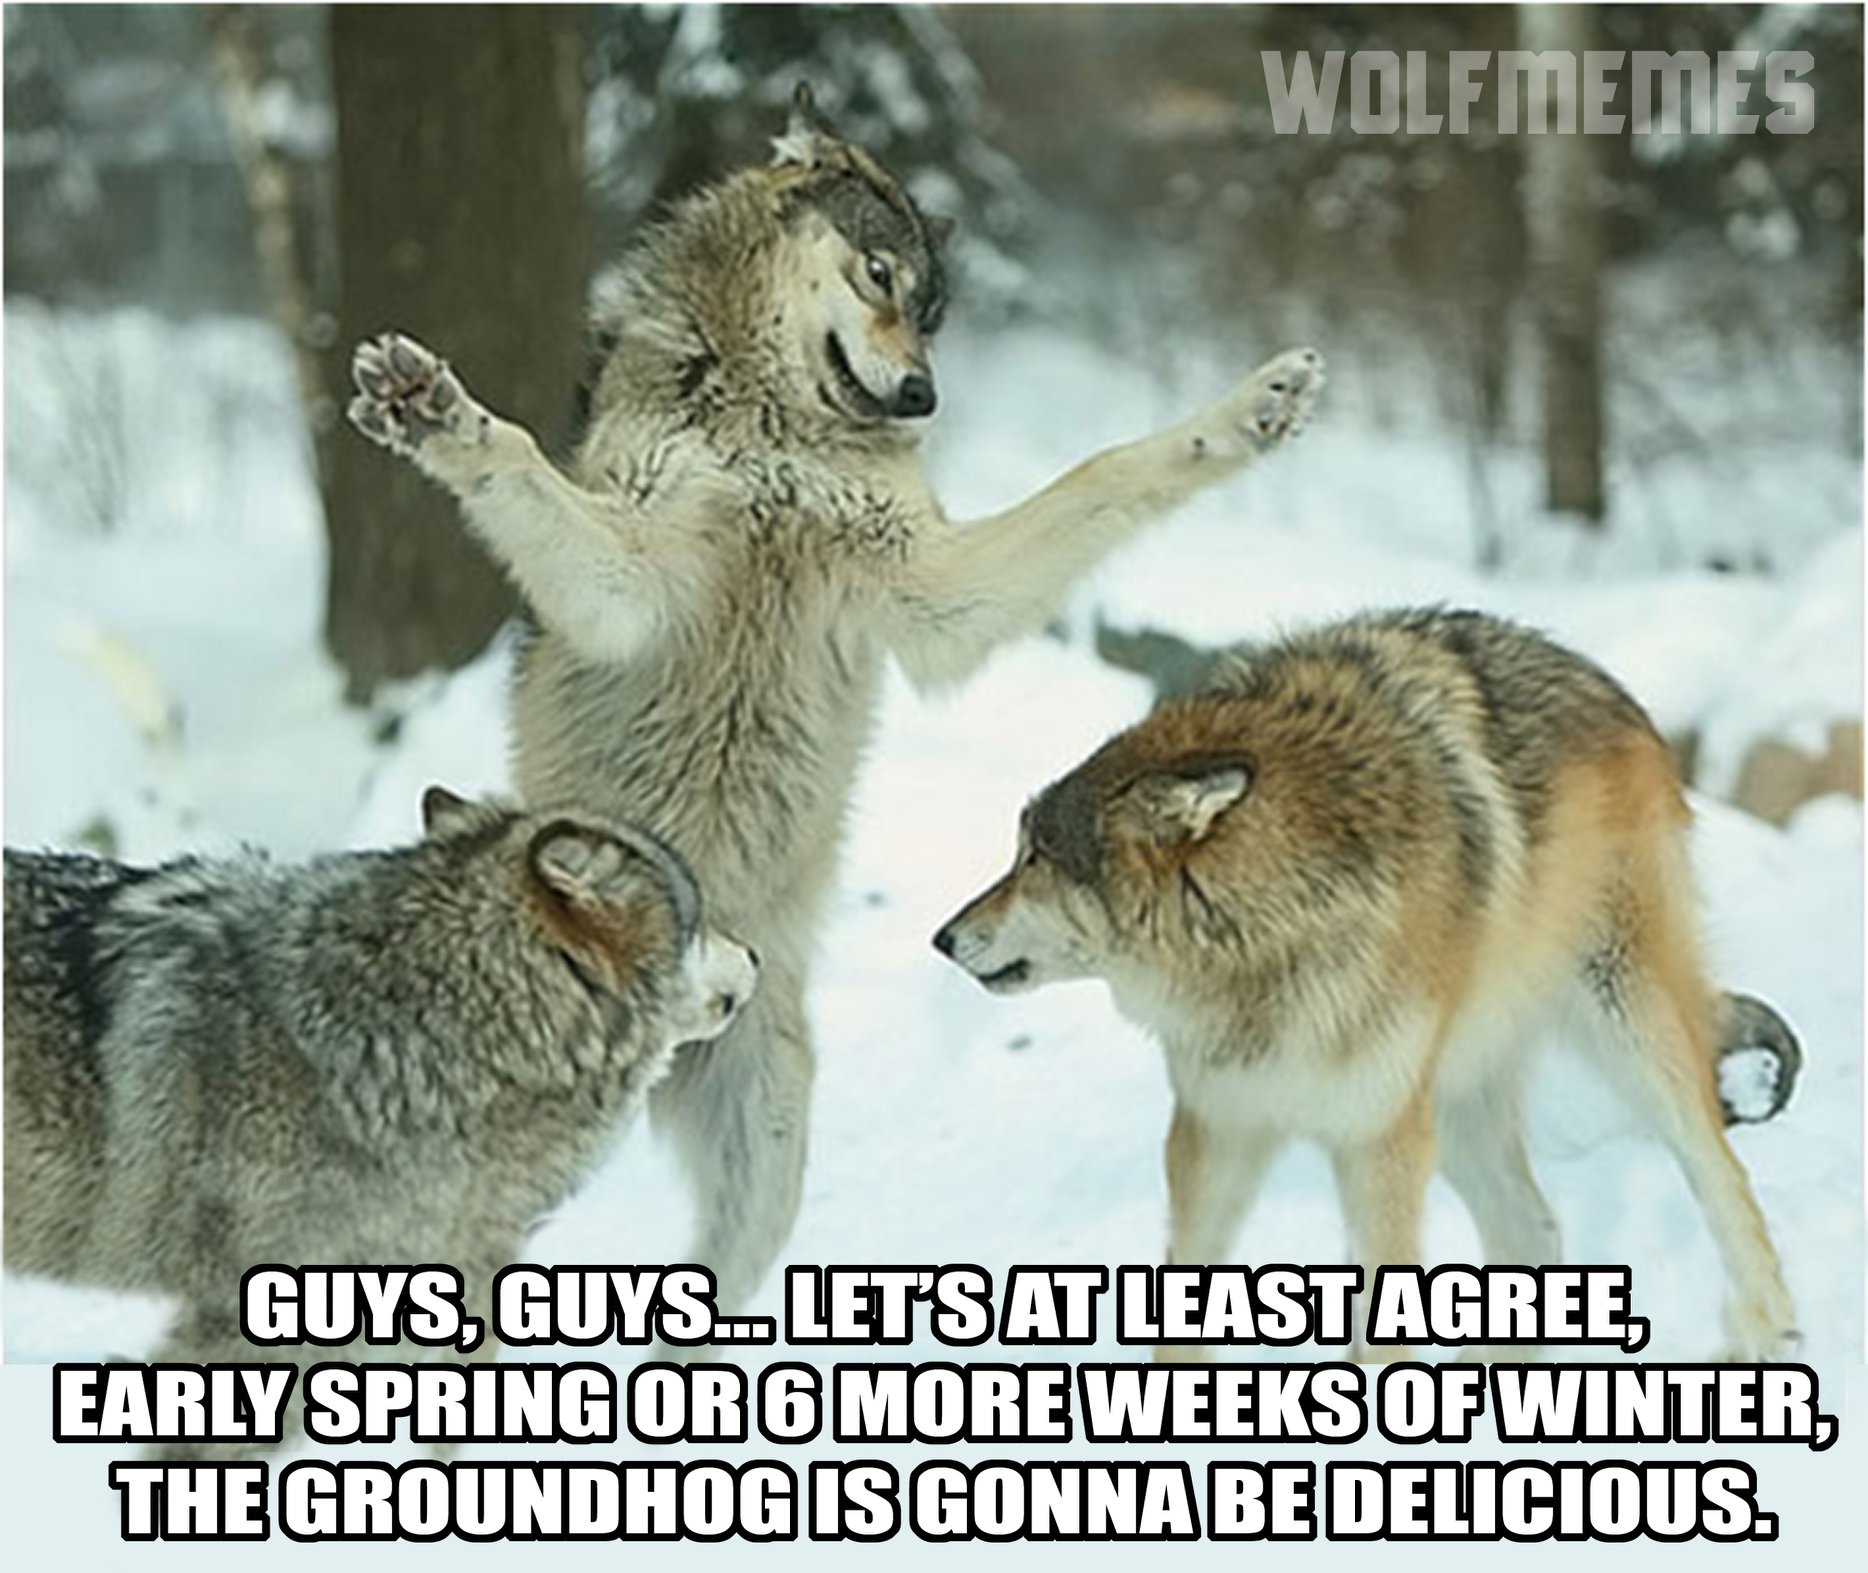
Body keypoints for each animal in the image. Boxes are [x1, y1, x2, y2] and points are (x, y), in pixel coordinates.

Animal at [345, 84, 1324, 1322]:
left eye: (933, 315)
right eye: (876, 275)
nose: (922, 394)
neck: (776, 434)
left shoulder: (934, 596)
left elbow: (1107, 468)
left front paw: (1255, 410)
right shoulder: (627, 586)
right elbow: (514, 455)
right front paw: (434, 411)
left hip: (764, 1157)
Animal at [934, 609, 1800, 1363]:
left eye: (1034, 856)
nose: (943, 937)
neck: (1267, 943)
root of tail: (1604, 682)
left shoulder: (1376, 1138)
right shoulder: (1218, 1126)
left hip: (1624, 1030)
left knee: (1721, 1172)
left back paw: (1768, 1335)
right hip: (1459, 1106)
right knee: (1536, 1230)